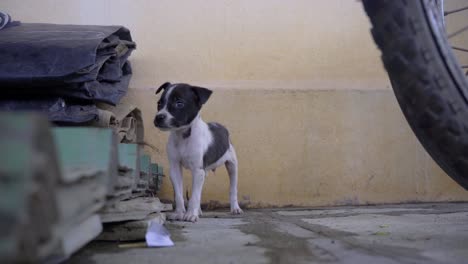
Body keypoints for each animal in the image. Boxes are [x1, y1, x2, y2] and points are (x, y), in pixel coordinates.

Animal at [154, 81, 243, 222]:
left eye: (179, 103)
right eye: (159, 104)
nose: (159, 117)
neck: (183, 135)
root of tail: (221, 126)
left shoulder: (197, 170)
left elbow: (194, 196)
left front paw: (191, 214)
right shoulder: (176, 169)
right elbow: (179, 195)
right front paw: (180, 213)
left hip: (232, 165)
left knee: (233, 188)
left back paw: (235, 208)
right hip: (204, 172)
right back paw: (199, 211)